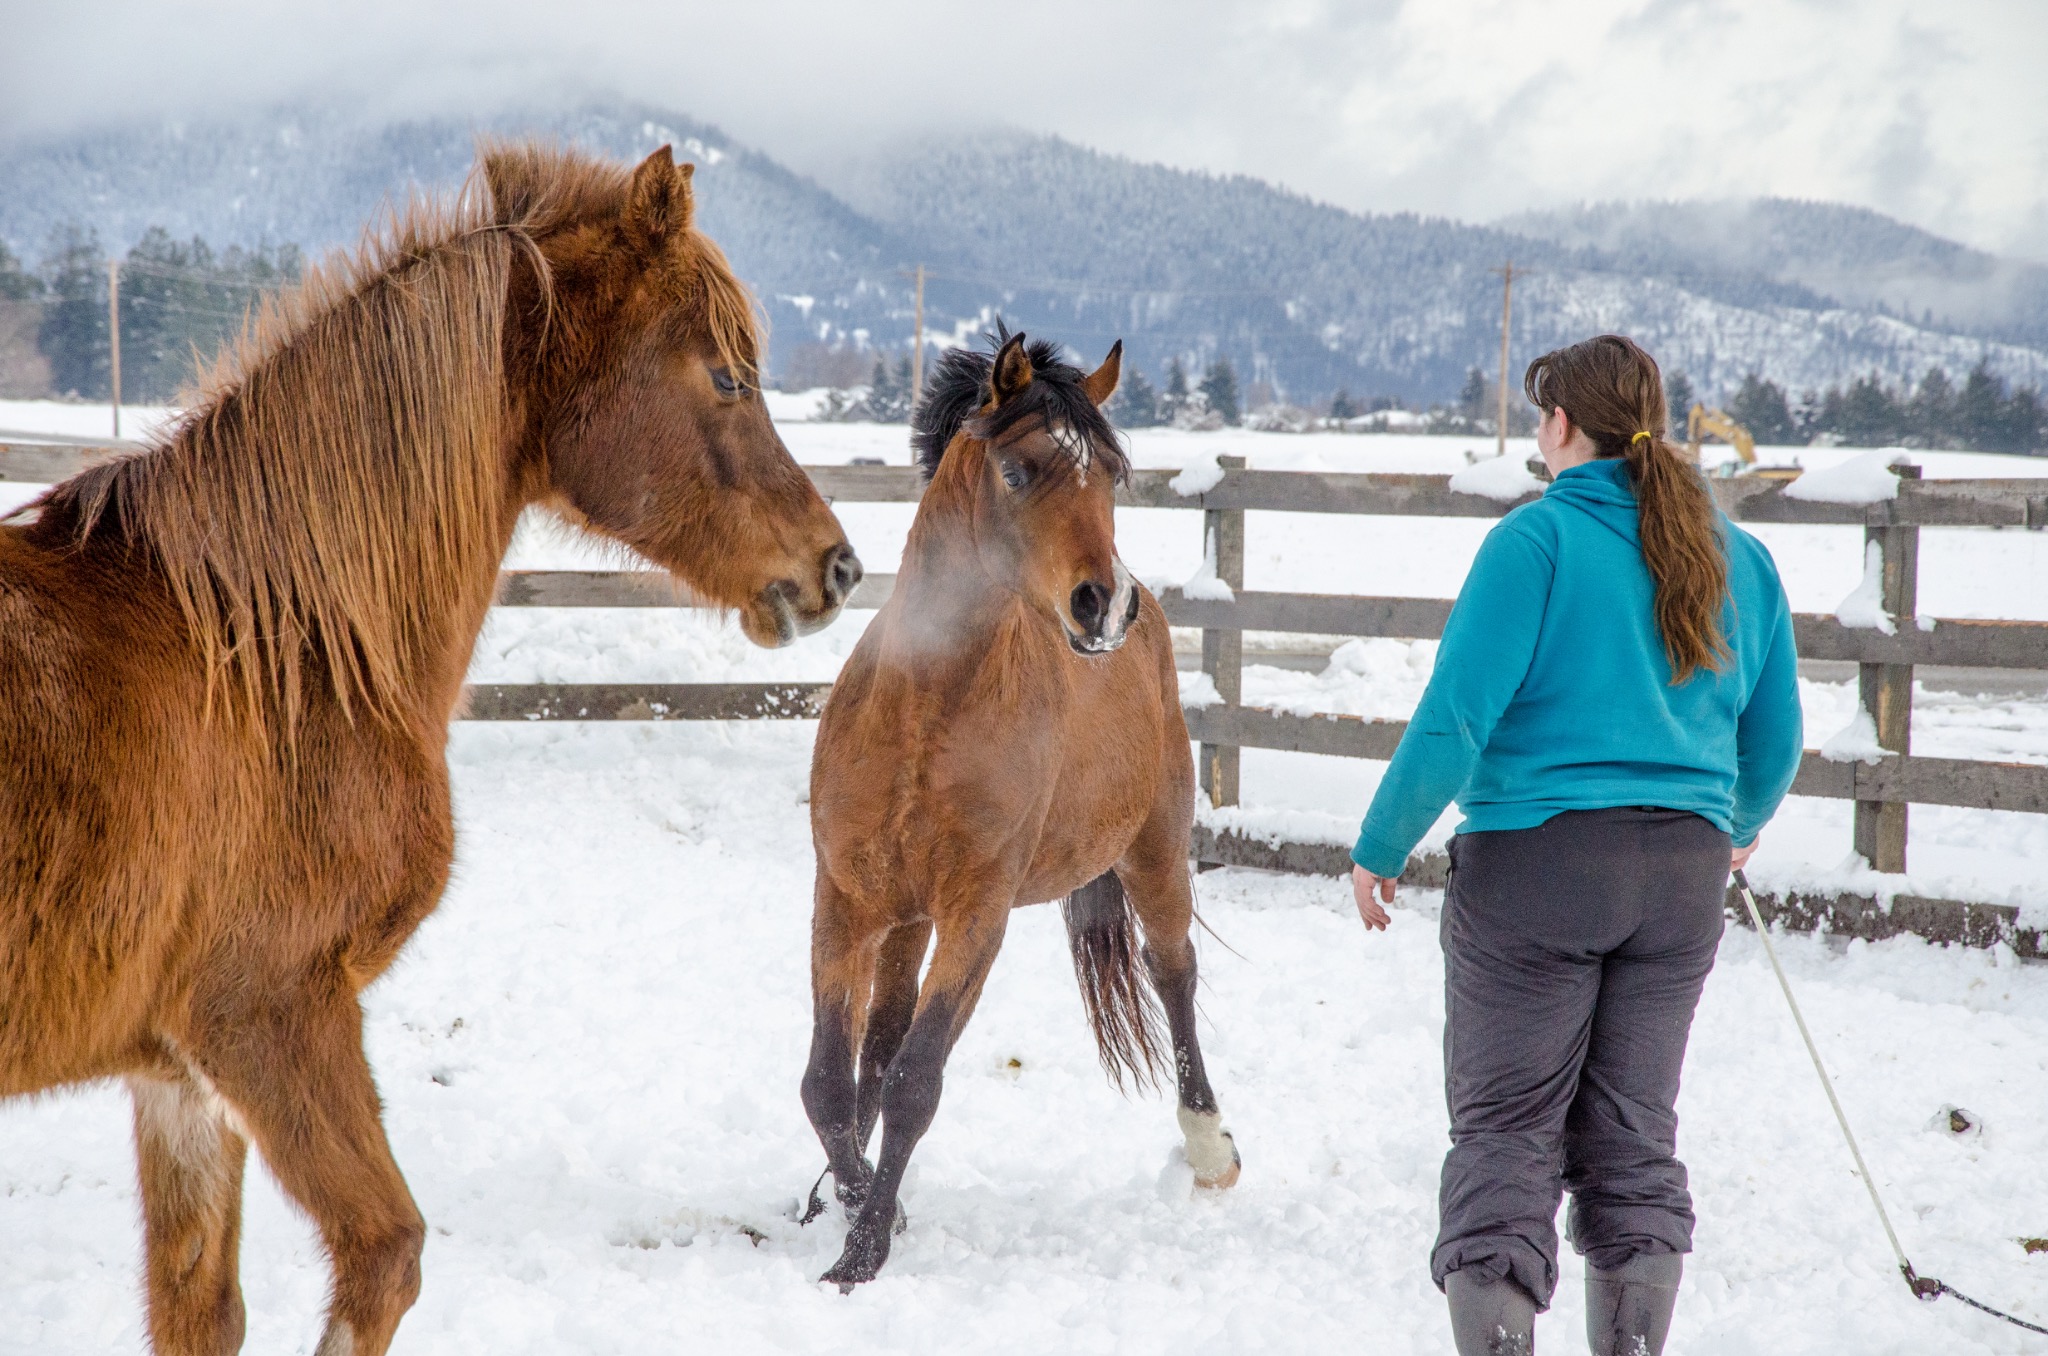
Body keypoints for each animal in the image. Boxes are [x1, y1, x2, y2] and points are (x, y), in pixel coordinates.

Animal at [0, 141, 860, 1356]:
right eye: (727, 376)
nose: (836, 567)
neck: (276, 646)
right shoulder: (271, 1017)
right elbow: (384, 1257)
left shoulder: (178, 1077)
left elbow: (198, 1306)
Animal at [800, 328, 1241, 1289]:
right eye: (1018, 468)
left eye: (1112, 474)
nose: (1103, 604)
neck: (923, 715)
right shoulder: (847, 901)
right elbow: (832, 1082)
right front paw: (849, 1204)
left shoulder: (979, 913)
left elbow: (915, 1081)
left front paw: (863, 1251)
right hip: (906, 921)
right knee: (875, 1045)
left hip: (1154, 851)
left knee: (1174, 971)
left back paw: (1209, 1148)